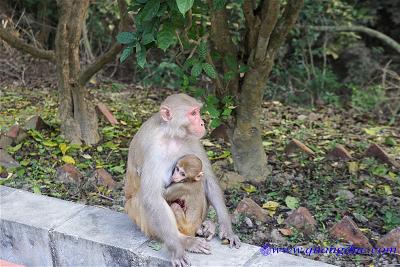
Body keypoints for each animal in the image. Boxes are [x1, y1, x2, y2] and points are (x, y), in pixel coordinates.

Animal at [125, 93, 239, 266]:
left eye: (198, 111)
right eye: (193, 114)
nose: (202, 122)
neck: (171, 133)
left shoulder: (193, 139)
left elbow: (208, 179)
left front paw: (227, 228)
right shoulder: (153, 147)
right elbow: (152, 197)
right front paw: (178, 248)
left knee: (199, 183)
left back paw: (204, 227)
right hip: (134, 213)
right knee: (143, 200)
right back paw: (184, 240)